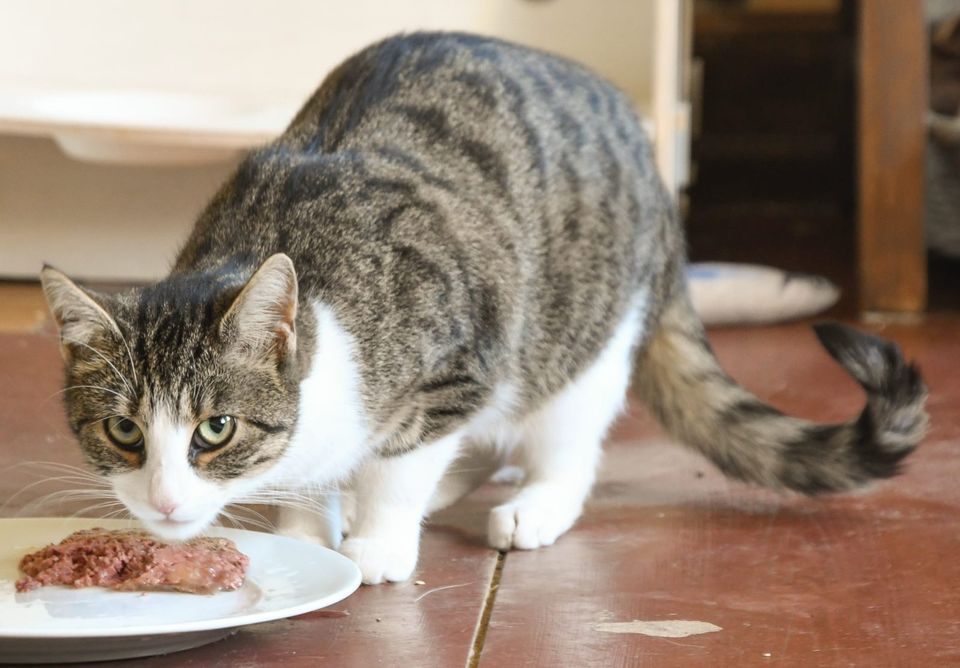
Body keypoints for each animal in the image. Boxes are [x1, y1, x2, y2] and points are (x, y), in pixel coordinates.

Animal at [41, 32, 928, 584]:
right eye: (124, 432)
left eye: (214, 430)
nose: (163, 501)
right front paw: (311, 533)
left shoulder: (455, 367)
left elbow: (401, 462)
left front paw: (378, 539)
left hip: (581, 341)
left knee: (566, 442)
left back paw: (532, 503)